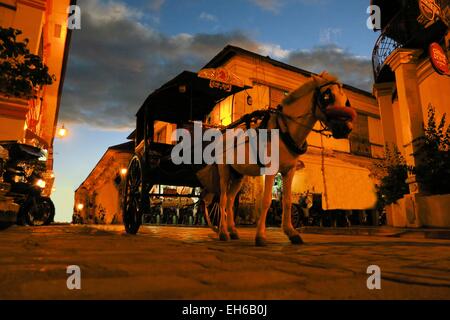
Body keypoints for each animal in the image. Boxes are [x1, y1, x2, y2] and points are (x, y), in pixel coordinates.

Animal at [199, 72, 356, 246]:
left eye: (346, 100)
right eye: (327, 96)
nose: (346, 129)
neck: (284, 131)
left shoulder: (289, 171)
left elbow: (287, 201)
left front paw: (291, 232)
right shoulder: (271, 169)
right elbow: (267, 200)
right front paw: (260, 236)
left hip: (239, 175)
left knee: (230, 201)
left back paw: (232, 231)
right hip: (224, 172)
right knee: (222, 200)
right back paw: (223, 232)